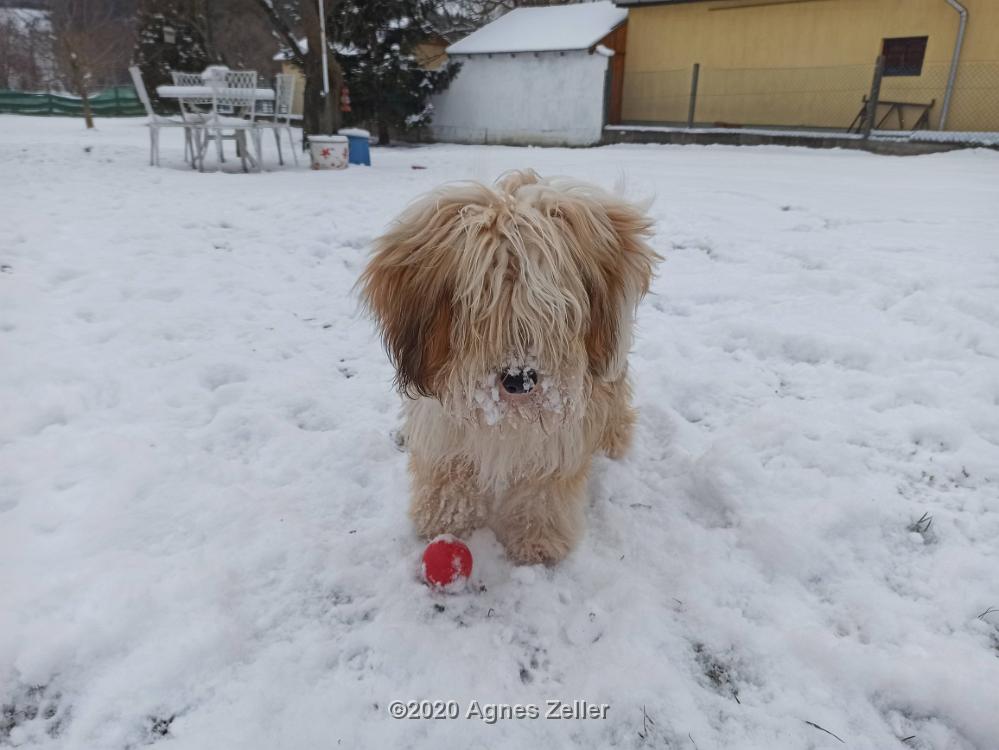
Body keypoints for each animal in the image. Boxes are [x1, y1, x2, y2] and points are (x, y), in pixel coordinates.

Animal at [364, 170, 660, 568]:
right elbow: (449, 473)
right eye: (481, 308)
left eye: (549, 310)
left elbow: (543, 488)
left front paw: (538, 541)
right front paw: (446, 521)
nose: (519, 380)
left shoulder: (560, 439)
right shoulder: (444, 430)